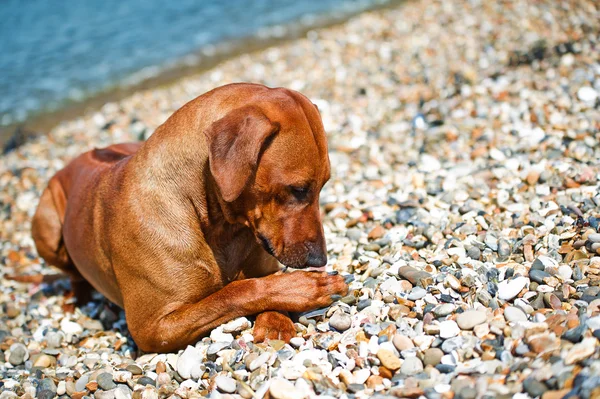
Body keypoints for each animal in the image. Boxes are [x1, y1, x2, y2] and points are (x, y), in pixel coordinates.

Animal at [31, 83, 346, 352]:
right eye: (298, 189)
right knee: (73, 272)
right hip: (47, 228)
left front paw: (275, 321)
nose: (320, 259)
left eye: (323, 185)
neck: (218, 224)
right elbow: (234, 292)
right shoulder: (153, 328)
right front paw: (303, 287)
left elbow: (260, 283)